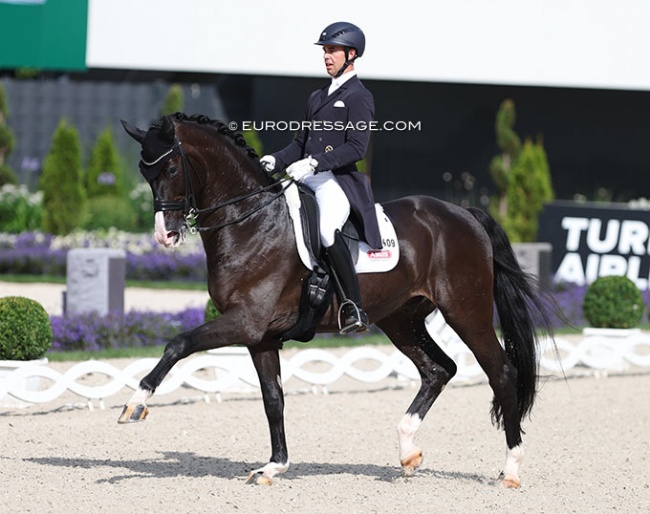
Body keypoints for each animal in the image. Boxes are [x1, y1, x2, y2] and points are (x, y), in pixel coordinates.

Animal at [117, 112, 552, 484]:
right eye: (144, 172)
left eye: (172, 169)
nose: (165, 235)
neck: (251, 221)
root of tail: (462, 214)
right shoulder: (261, 337)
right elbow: (273, 400)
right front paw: (273, 466)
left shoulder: (246, 322)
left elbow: (178, 344)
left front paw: (135, 404)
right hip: (401, 319)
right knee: (438, 369)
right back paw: (408, 451)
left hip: (466, 312)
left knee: (501, 372)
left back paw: (510, 469)